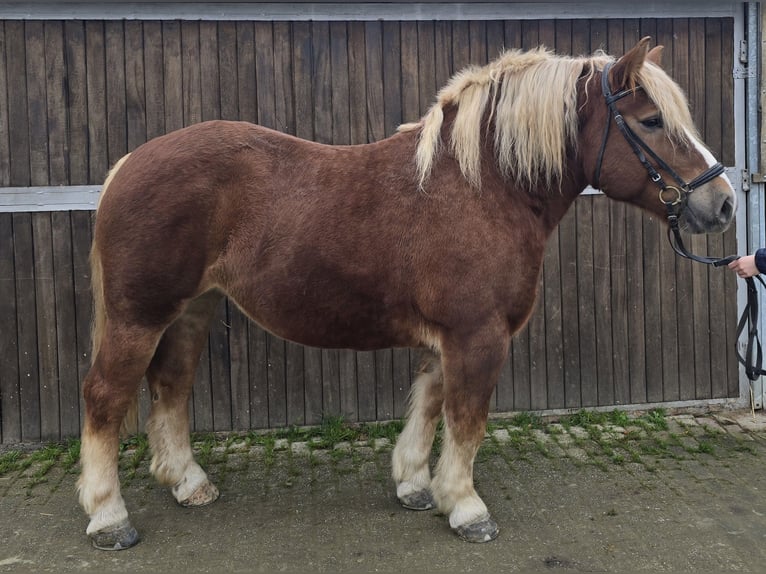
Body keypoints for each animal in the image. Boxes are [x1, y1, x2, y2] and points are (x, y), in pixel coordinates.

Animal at [78, 38, 736, 552]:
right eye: (651, 121)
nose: (723, 203)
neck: (481, 187)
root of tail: (129, 163)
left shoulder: (450, 338)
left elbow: (428, 403)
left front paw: (417, 486)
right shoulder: (479, 336)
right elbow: (466, 421)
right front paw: (466, 508)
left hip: (190, 311)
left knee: (170, 387)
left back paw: (189, 484)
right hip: (138, 318)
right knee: (106, 398)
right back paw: (109, 517)